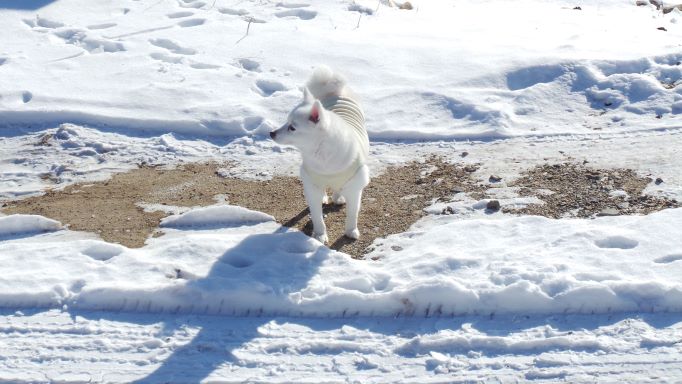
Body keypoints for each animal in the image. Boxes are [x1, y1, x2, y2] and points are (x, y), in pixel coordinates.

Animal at [268, 66, 370, 243]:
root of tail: (334, 91)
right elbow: (317, 216)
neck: (321, 154)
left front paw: (351, 231)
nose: (271, 133)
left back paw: (338, 197)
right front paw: (320, 235)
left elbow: (352, 213)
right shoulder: (312, 185)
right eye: (286, 122)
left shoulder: (355, 188)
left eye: (292, 128)